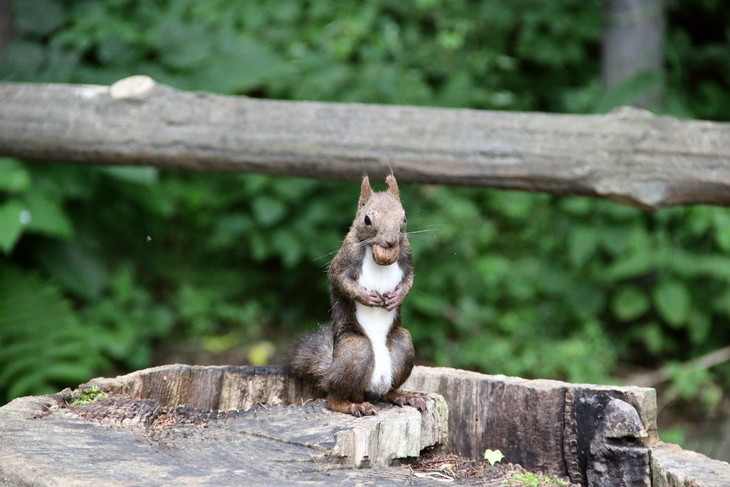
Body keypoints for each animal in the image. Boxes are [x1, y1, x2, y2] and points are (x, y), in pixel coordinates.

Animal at [286, 173, 426, 418]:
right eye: (367, 219)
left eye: (404, 217)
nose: (391, 241)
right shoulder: (345, 257)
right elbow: (340, 280)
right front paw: (366, 297)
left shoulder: (407, 255)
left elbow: (409, 280)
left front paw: (397, 297)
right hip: (355, 350)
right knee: (333, 397)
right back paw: (351, 405)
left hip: (403, 345)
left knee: (388, 390)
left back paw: (403, 396)